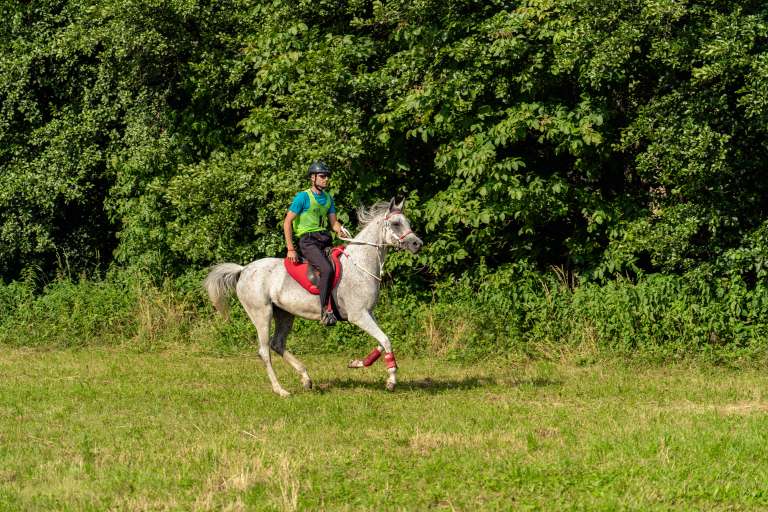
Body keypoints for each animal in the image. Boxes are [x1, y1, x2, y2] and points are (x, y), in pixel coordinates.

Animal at [201, 196, 424, 396]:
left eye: (407, 222)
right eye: (396, 223)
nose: (417, 244)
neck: (360, 266)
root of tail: (244, 270)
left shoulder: (368, 313)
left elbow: (382, 341)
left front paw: (357, 363)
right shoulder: (358, 315)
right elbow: (385, 340)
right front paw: (391, 380)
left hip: (285, 314)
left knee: (277, 344)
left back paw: (306, 378)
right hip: (261, 314)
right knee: (265, 351)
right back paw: (281, 390)